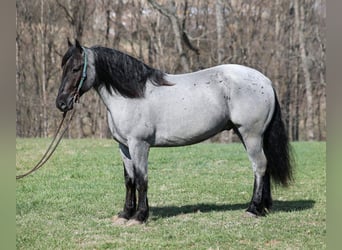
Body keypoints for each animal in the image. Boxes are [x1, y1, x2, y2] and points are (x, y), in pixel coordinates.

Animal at [55, 39, 292, 225]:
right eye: (63, 67)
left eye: (76, 68)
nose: (61, 103)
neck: (131, 95)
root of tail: (265, 81)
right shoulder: (124, 146)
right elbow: (129, 180)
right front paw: (125, 214)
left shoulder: (139, 145)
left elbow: (142, 179)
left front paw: (139, 216)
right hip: (249, 136)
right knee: (263, 166)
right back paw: (263, 208)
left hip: (251, 135)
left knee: (259, 166)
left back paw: (253, 209)